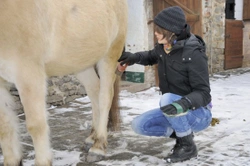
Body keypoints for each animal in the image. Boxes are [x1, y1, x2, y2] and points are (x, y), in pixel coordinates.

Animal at [0, 0, 128, 165]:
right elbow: (5, 126)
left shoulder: (29, 75)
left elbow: (36, 125)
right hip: (81, 62)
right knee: (94, 90)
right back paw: (91, 138)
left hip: (110, 55)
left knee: (105, 97)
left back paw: (98, 146)